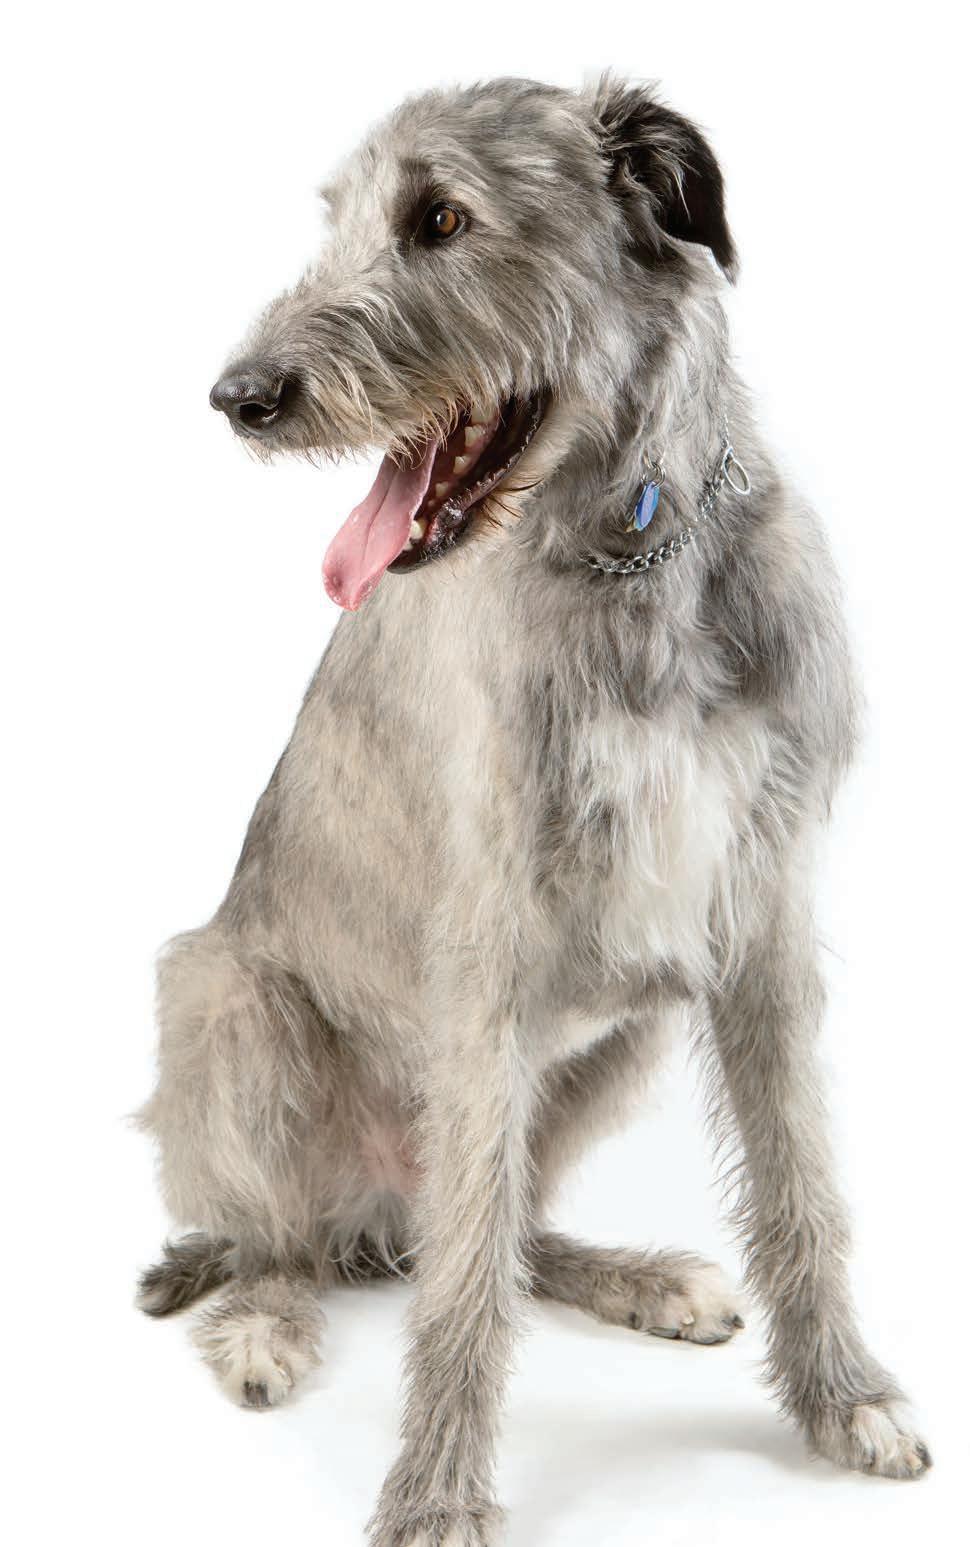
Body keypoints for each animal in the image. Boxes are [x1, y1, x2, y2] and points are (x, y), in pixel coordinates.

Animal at [137, 74, 930, 1546]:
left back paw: (627, 1273)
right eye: (336, 218)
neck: (629, 549)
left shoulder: (760, 910)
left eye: (441, 219)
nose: (239, 397)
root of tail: (361, 1214)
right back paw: (266, 1317)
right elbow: (461, 1292)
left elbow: (798, 1174)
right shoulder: (488, 946)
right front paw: (437, 1491)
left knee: (480, 1224)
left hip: (631, 1016)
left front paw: (844, 1393)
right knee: (321, 1233)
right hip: (226, 997)